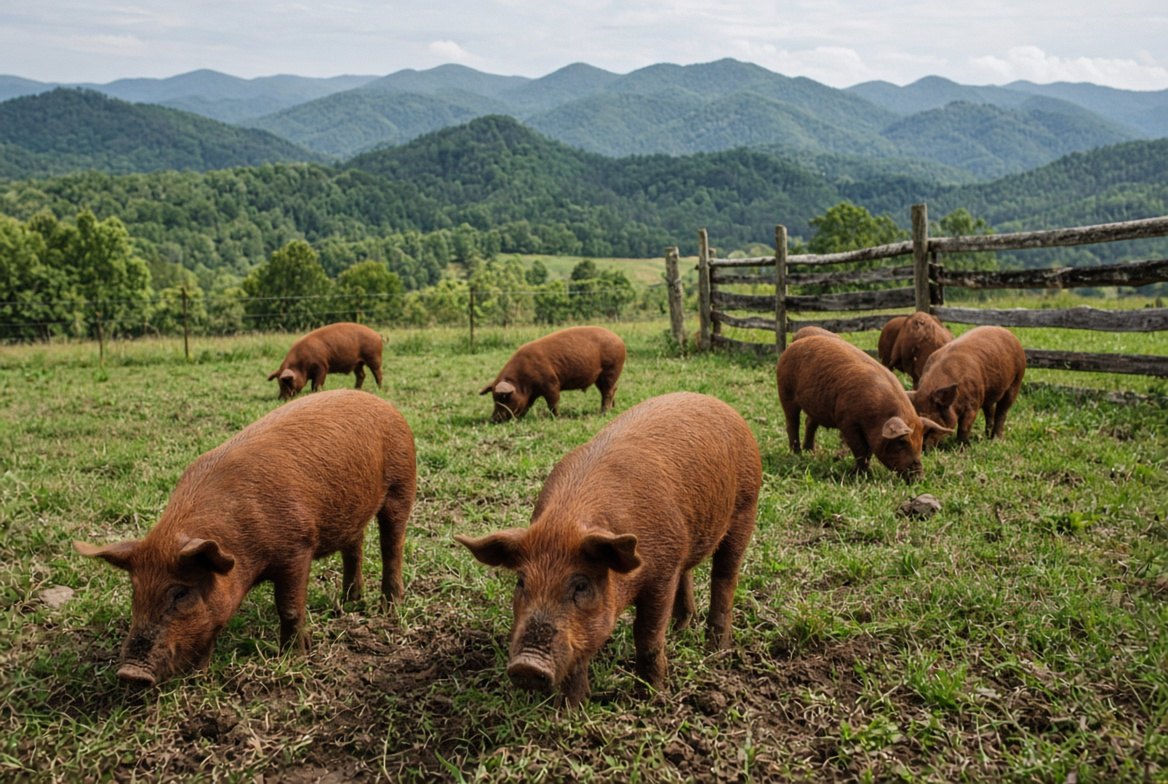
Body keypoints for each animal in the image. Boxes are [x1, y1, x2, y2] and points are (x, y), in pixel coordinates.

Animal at [74, 389, 416, 686]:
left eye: (181, 593)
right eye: (135, 592)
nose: (130, 673)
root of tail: (382, 403)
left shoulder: (297, 547)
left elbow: (289, 607)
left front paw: (293, 658)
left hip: (402, 482)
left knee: (392, 545)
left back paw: (389, 607)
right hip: (352, 510)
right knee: (354, 547)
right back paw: (348, 602)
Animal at [456, 391, 761, 706]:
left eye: (581, 585)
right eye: (520, 582)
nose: (526, 665)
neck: (567, 521)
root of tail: (719, 404)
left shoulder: (662, 570)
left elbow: (648, 636)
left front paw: (652, 697)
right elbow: (580, 655)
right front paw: (573, 708)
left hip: (746, 506)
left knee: (724, 577)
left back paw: (717, 649)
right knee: (688, 573)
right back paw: (680, 631)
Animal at [479, 326, 626, 422]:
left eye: (503, 398)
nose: (492, 420)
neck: (523, 381)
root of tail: (620, 340)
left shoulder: (551, 383)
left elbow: (553, 402)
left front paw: (556, 418)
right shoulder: (532, 393)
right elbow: (528, 404)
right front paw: (521, 418)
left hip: (611, 369)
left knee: (608, 391)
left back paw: (603, 413)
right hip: (600, 377)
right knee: (611, 389)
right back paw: (611, 409)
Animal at [776, 334, 951, 480]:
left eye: (920, 442)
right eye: (902, 442)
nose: (919, 478)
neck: (876, 415)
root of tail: (792, 346)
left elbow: (868, 450)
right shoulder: (847, 421)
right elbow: (861, 449)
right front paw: (861, 476)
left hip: (815, 405)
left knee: (809, 423)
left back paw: (811, 452)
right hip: (785, 391)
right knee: (792, 423)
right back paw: (797, 454)